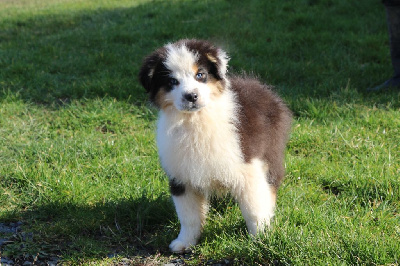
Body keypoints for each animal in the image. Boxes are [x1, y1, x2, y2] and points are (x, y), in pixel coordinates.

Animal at [139, 38, 292, 252]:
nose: (191, 96)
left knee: (270, 185)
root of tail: (258, 85)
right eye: (171, 81)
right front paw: (185, 242)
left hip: (271, 152)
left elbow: (254, 208)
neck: (196, 120)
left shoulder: (247, 168)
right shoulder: (181, 176)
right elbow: (189, 216)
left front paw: (261, 239)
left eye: (200, 74)